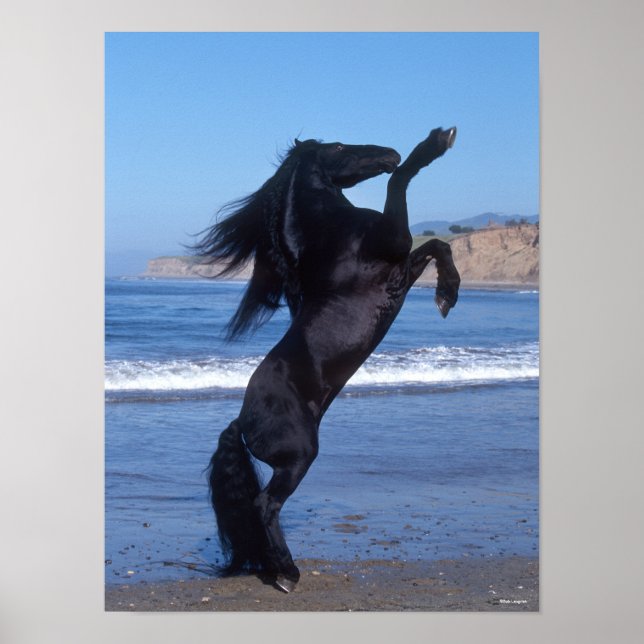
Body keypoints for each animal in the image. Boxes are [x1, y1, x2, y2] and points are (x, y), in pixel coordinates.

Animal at [193, 127, 461, 593]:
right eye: (336, 147)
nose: (388, 153)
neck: (332, 235)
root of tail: (241, 422)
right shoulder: (393, 241)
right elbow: (402, 185)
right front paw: (436, 142)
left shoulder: (400, 269)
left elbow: (438, 244)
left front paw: (449, 294)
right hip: (300, 455)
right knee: (265, 505)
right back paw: (287, 573)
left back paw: (276, 568)